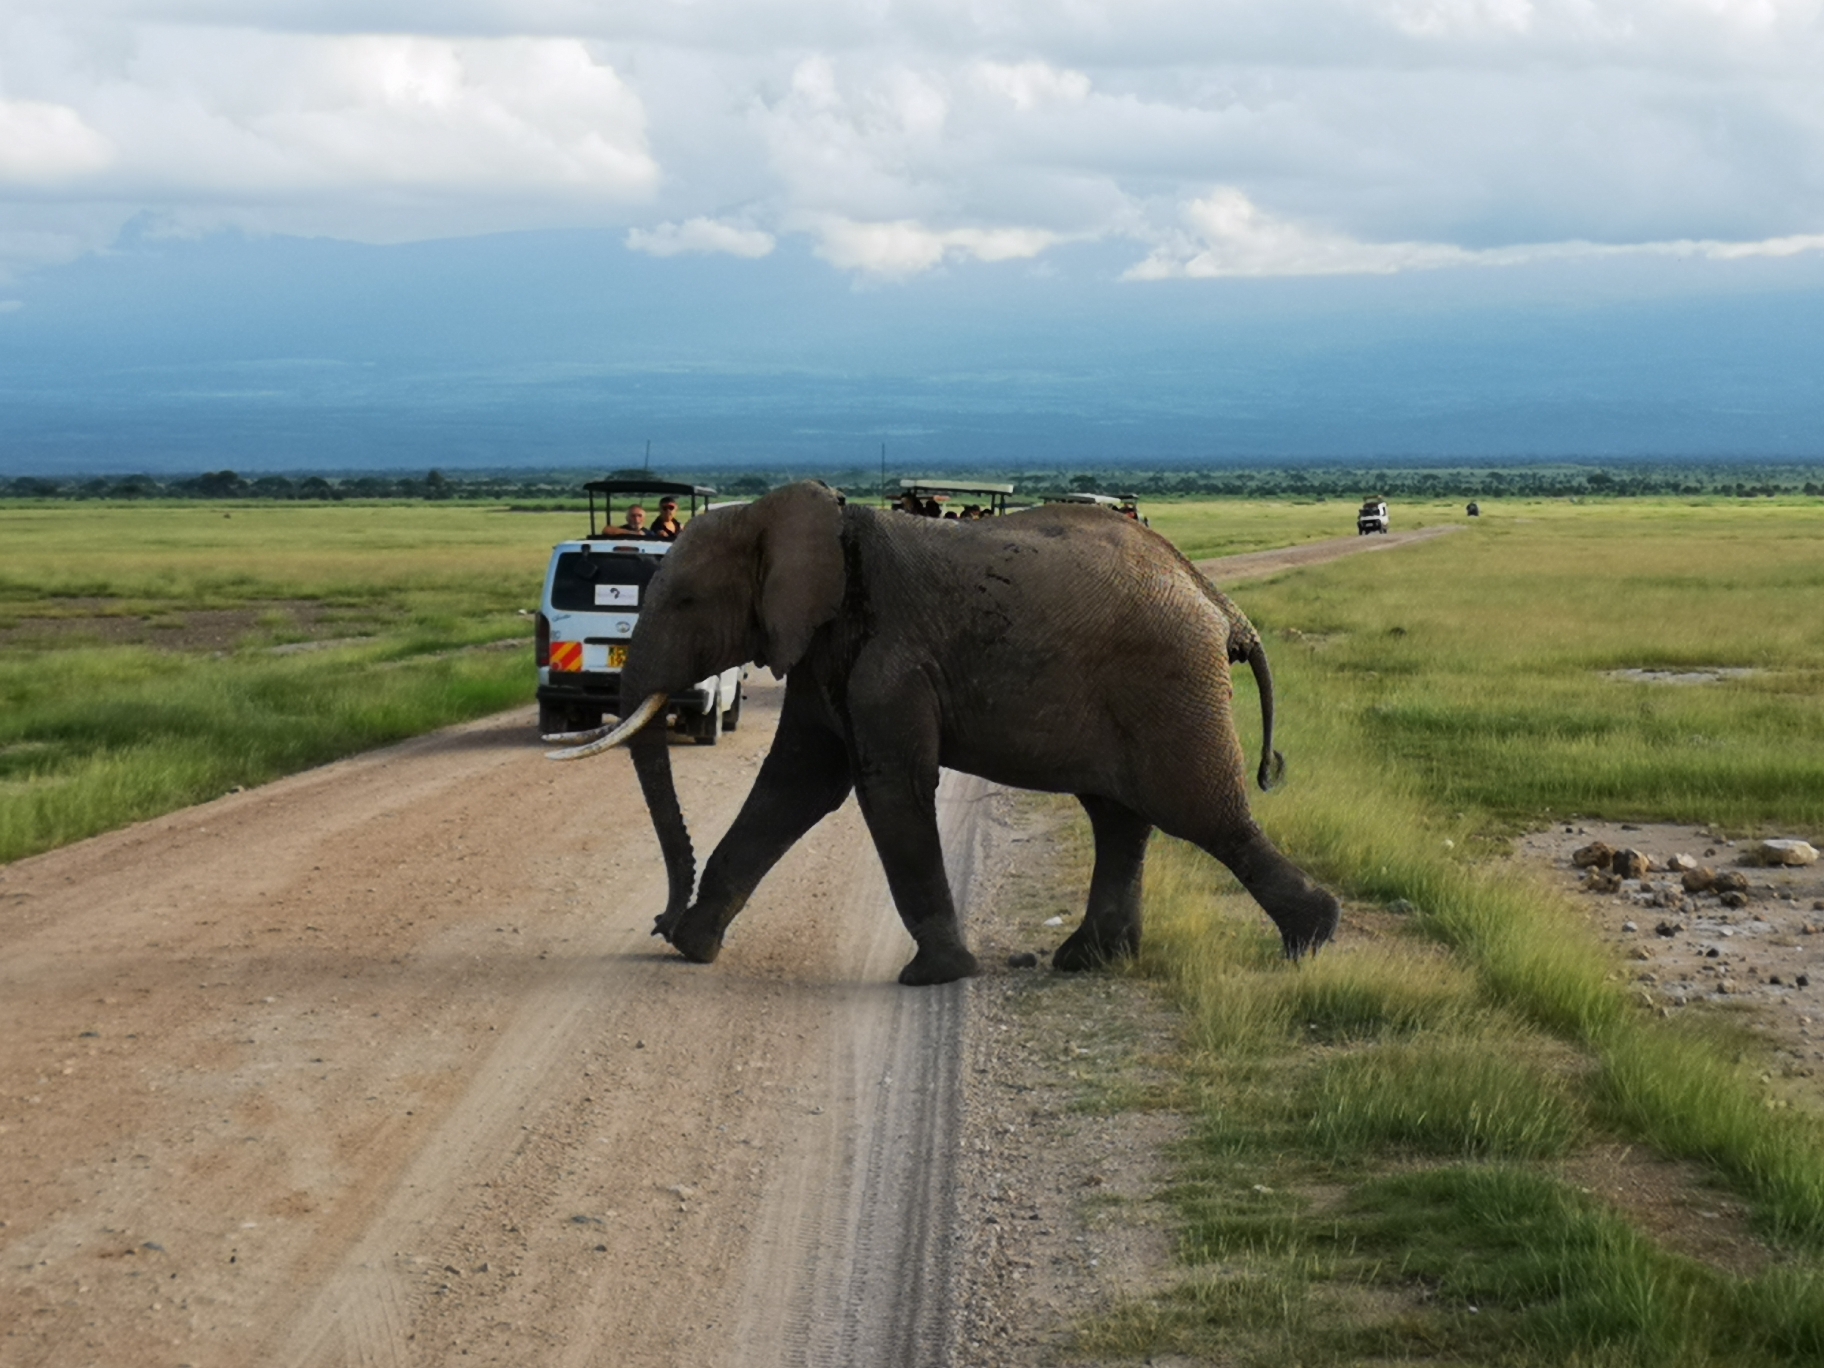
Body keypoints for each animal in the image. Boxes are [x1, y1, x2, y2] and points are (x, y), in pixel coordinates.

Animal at [554, 481, 1342, 984]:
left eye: (685, 600)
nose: (658, 921)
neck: (825, 525)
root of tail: (1220, 602)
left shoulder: (887, 660)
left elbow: (887, 788)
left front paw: (935, 977)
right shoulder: (826, 653)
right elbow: (795, 784)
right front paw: (694, 949)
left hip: (1168, 682)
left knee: (1205, 815)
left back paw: (1313, 939)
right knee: (1121, 817)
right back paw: (1090, 961)